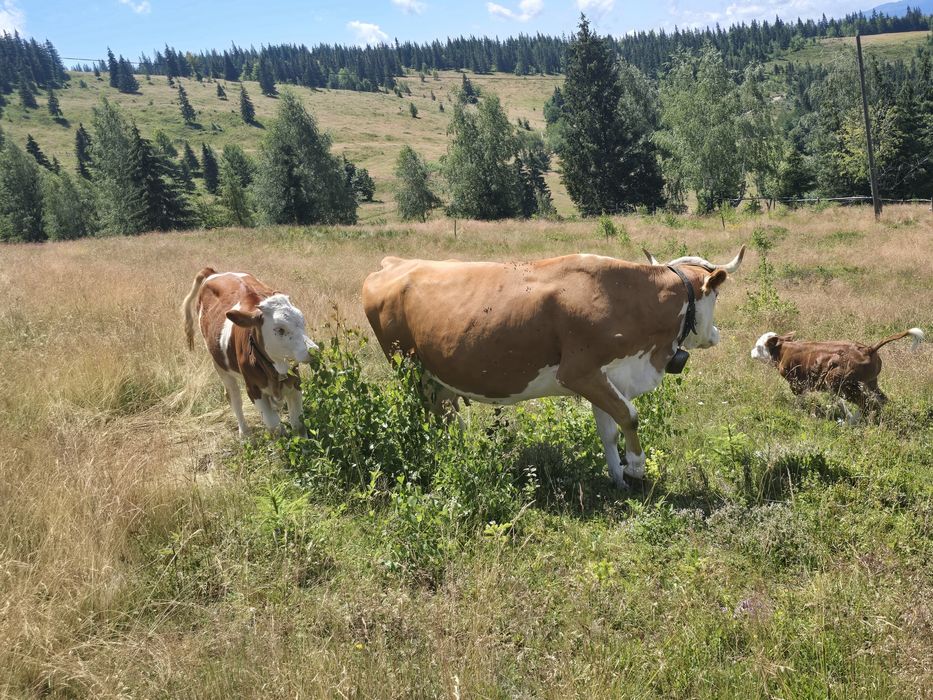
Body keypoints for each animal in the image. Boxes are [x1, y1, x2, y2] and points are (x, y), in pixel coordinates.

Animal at [182, 268, 318, 437]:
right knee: (233, 397)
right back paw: (245, 433)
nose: (314, 351)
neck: (274, 369)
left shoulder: (295, 383)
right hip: (219, 365)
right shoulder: (253, 389)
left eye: (302, 321)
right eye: (280, 329)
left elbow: (298, 423)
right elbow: (273, 423)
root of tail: (213, 272)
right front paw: (279, 433)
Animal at [362, 246, 745, 488]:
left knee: (446, 419)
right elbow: (630, 416)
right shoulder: (579, 372)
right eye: (716, 296)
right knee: (431, 420)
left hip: (436, 379)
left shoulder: (606, 375)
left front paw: (617, 477)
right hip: (408, 369)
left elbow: (610, 429)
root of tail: (395, 262)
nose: (715, 334)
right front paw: (635, 469)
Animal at [750, 327, 924, 422]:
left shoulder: (797, 383)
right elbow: (838, 402)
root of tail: (868, 348)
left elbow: (799, 400)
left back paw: (850, 423)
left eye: (758, 347)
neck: (783, 349)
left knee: (866, 403)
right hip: (868, 382)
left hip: (838, 381)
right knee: (880, 401)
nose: (751, 352)